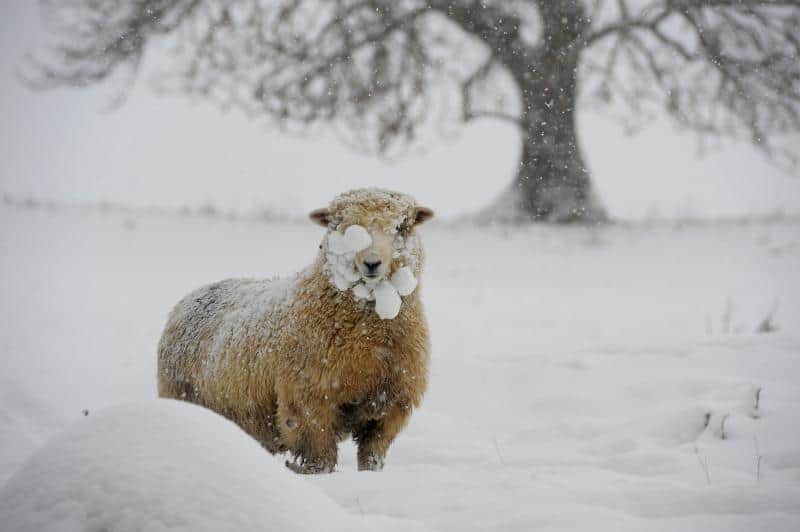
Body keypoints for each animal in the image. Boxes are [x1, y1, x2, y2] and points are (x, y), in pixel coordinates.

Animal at [157, 188, 434, 474]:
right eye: (341, 225)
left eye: (402, 226)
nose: (371, 262)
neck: (369, 340)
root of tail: (188, 298)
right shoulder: (307, 398)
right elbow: (320, 454)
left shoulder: (391, 403)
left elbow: (372, 454)